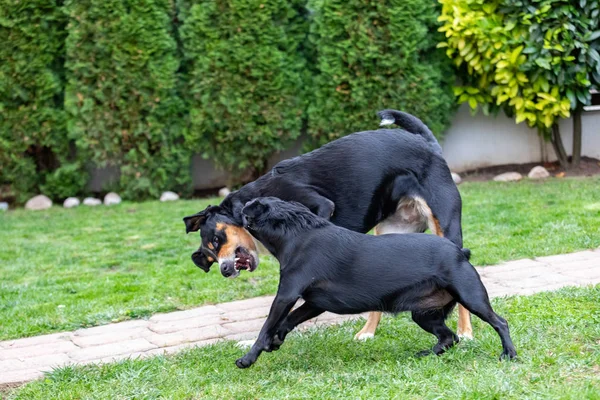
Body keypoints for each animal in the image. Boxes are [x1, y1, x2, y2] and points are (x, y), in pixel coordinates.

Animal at [183, 110, 474, 340]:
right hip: (392, 234)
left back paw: (466, 332)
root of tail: (428, 144)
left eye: (217, 239)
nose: (224, 270)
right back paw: (367, 332)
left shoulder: (321, 207)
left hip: (446, 228)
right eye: (210, 257)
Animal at [233, 197, 516, 368]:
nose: (239, 204)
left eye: (248, 207)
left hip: (471, 297)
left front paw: (248, 358)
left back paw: (509, 354)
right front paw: (276, 340)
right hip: (424, 315)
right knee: (449, 338)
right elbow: (287, 321)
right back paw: (426, 355)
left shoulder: (286, 295)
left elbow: (266, 327)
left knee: (500, 323)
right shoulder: (314, 303)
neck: (295, 232)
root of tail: (460, 252)